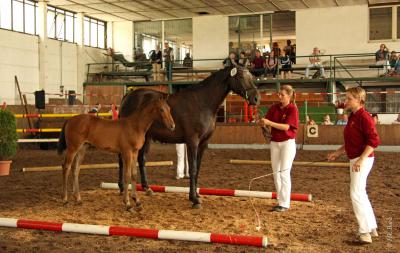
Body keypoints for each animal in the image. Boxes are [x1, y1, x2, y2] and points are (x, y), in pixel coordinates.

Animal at [117, 66, 260, 209]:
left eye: (251, 76)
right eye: (241, 77)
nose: (256, 98)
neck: (203, 102)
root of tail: (128, 96)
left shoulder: (203, 143)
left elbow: (197, 169)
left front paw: (196, 195)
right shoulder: (193, 141)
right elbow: (193, 168)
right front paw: (194, 200)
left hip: (146, 137)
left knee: (141, 159)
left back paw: (147, 188)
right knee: (122, 160)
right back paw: (122, 188)